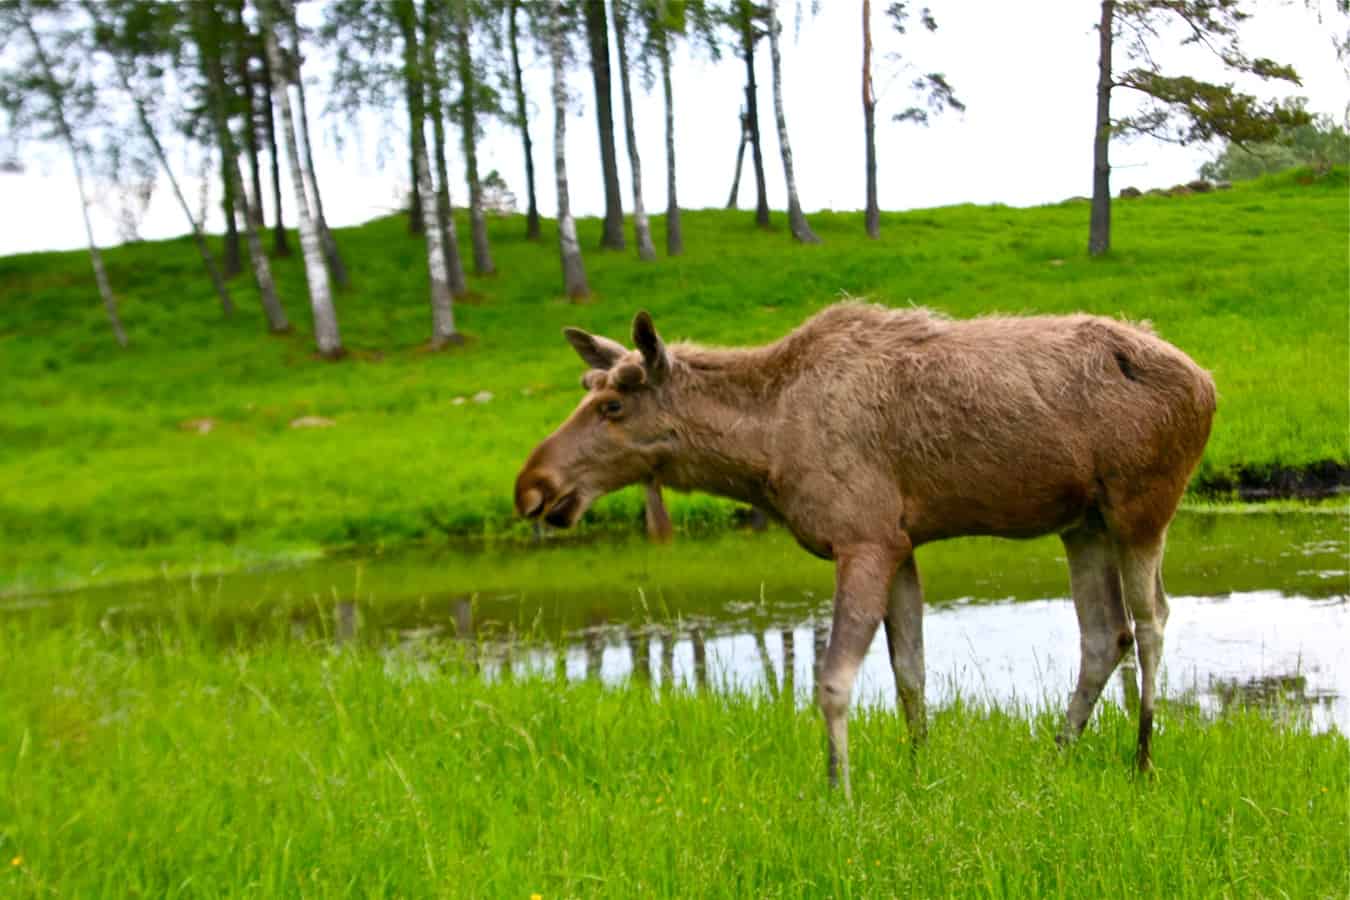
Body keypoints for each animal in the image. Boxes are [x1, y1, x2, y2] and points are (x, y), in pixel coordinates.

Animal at [510, 302, 1220, 793]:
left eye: (613, 405)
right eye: (586, 389)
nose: (531, 485)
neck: (764, 452)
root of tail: (1210, 384)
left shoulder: (863, 538)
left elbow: (832, 681)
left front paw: (839, 795)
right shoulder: (899, 541)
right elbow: (910, 674)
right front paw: (918, 772)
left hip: (1142, 505)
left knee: (1152, 619)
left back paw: (1142, 760)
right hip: (1083, 522)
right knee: (1104, 633)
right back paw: (1056, 754)